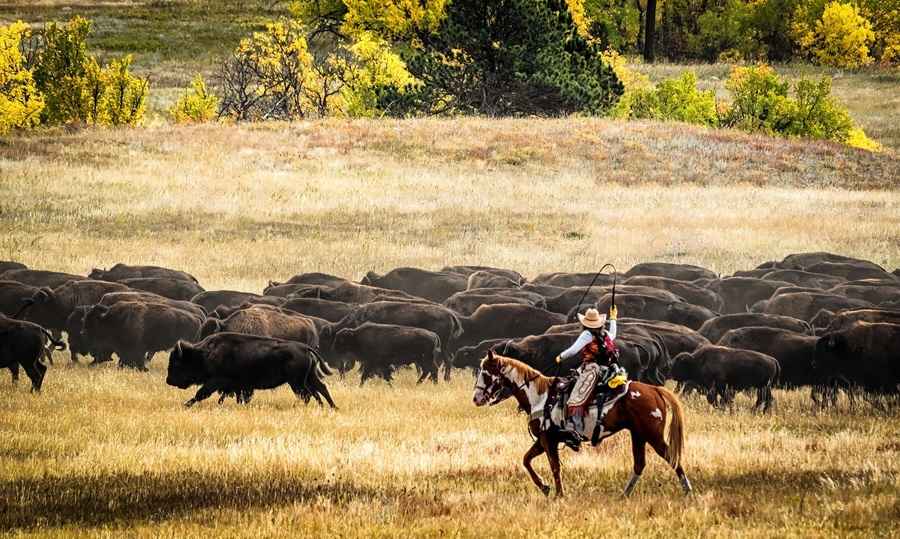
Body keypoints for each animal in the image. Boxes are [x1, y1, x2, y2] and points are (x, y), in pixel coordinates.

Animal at [167, 334, 336, 410]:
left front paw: (186, 404)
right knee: (320, 389)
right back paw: (332, 407)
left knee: (308, 394)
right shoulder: (242, 386)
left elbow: (201, 393)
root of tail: (305, 348)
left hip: (297, 382)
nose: (168, 380)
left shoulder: (215, 381)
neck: (204, 354)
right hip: (309, 378)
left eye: (177, 363)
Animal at [474, 352, 692, 500]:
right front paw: (544, 487)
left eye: (486, 373)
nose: (476, 398)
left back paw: (688, 491)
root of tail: (655, 389)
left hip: (652, 436)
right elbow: (526, 460)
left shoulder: (548, 440)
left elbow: (554, 467)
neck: (541, 397)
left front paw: (559, 494)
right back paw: (624, 495)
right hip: (638, 435)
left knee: (672, 458)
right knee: (639, 464)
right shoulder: (544, 440)